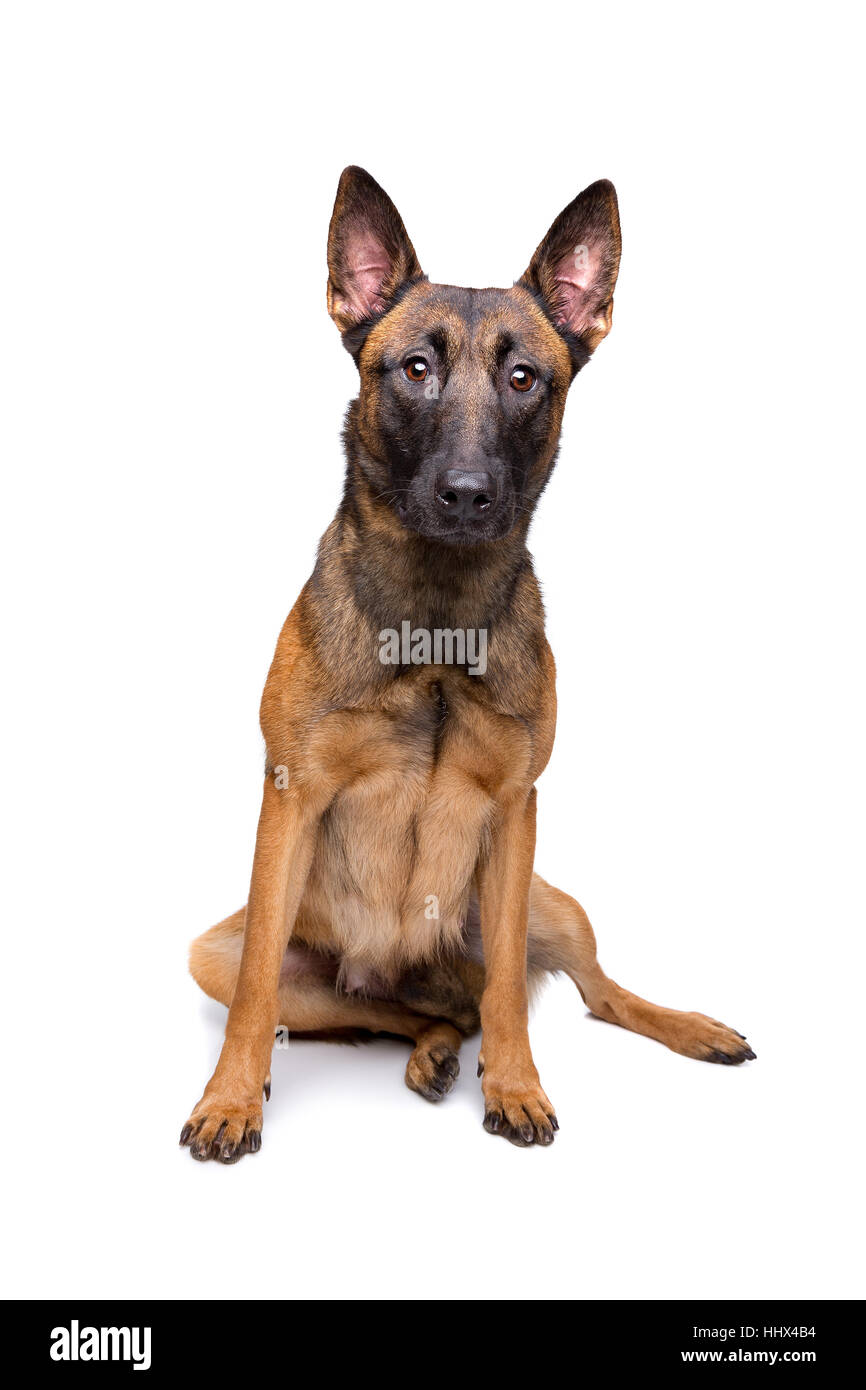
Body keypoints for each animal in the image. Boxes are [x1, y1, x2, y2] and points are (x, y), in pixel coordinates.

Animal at [179, 165, 756, 1162]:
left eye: (525, 378)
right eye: (416, 367)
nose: (467, 494)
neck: (436, 625)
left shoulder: (518, 811)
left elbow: (512, 997)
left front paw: (516, 1087)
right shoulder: (289, 805)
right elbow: (256, 994)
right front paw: (231, 1101)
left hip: (553, 903)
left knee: (577, 993)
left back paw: (682, 1027)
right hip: (232, 952)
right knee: (401, 1015)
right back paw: (432, 1053)